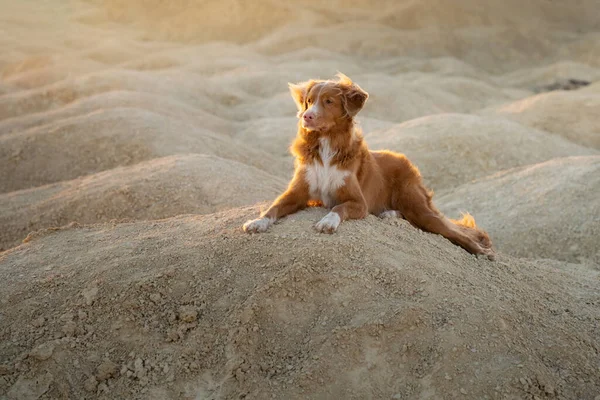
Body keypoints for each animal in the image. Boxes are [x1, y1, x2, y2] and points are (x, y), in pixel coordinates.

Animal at [241, 72, 494, 260]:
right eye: (309, 101)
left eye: (328, 102)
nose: (307, 117)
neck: (326, 145)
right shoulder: (297, 192)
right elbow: (274, 206)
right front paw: (258, 222)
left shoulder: (358, 202)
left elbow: (338, 207)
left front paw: (327, 222)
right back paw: (389, 213)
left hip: (420, 209)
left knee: (457, 233)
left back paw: (481, 252)